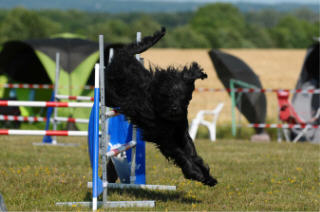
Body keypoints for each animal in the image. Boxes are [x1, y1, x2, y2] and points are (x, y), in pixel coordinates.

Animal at [105, 27, 218, 186]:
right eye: (167, 95)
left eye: (183, 96)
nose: (175, 109)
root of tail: (124, 56)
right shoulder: (162, 136)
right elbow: (180, 153)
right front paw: (195, 173)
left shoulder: (181, 132)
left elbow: (192, 152)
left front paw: (207, 176)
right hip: (110, 94)